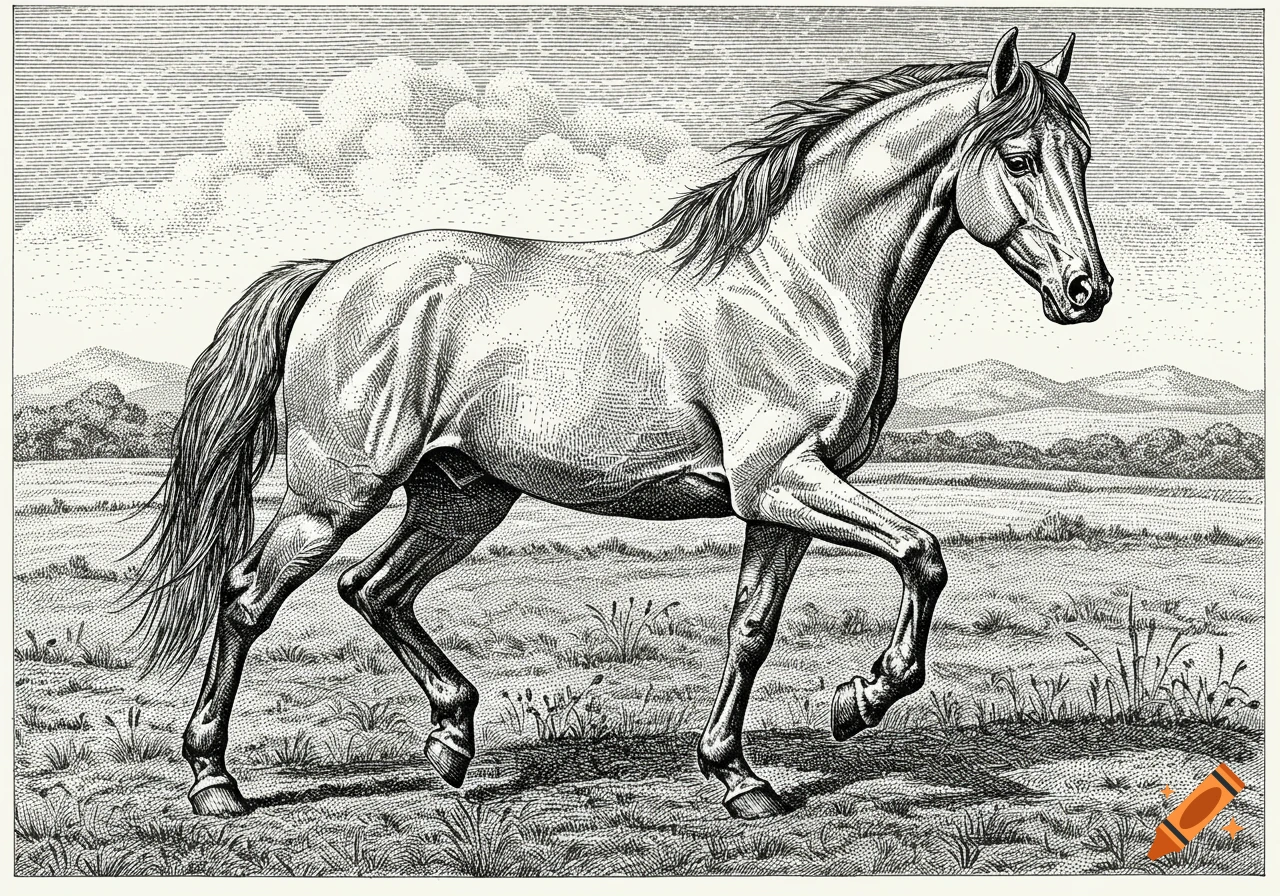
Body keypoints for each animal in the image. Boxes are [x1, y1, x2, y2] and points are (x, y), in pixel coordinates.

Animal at [128, 27, 1110, 820]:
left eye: (1084, 157)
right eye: (1020, 156)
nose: (1087, 291)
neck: (796, 284)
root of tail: (333, 273)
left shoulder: (780, 504)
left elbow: (751, 629)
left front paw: (740, 778)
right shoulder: (785, 481)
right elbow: (923, 554)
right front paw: (860, 699)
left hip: (460, 497)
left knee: (374, 590)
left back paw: (451, 743)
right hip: (336, 494)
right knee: (248, 596)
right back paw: (215, 782)